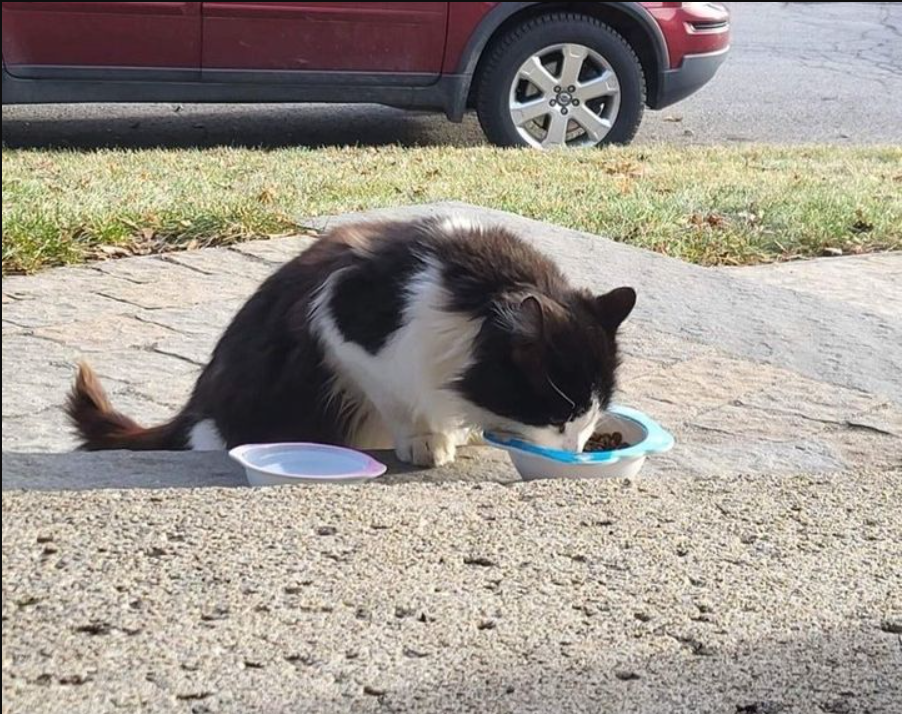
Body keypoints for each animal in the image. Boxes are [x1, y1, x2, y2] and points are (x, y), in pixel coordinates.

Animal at [69, 214, 636, 464]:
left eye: (590, 418)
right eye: (559, 418)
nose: (578, 450)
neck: (478, 293)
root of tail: (190, 411)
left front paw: (463, 432)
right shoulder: (349, 331)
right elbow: (401, 402)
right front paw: (426, 440)